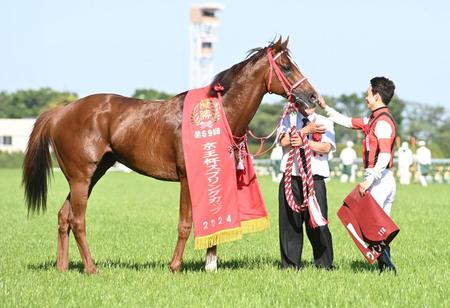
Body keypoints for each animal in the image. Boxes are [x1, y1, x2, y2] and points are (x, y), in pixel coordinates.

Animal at [23, 36, 320, 274]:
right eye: (286, 67)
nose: (313, 97)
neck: (218, 113)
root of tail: (61, 111)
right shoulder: (187, 178)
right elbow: (185, 224)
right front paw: (175, 266)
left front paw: (211, 265)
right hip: (82, 177)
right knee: (77, 220)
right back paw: (91, 268)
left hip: (92, 174)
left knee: (64, 216)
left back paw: (62, 267)